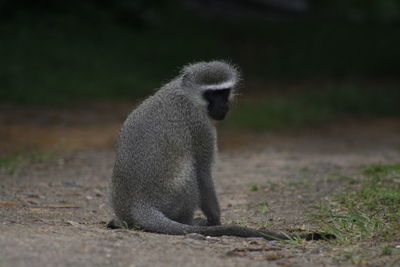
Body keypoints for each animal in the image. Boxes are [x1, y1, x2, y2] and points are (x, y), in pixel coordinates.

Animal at [107, 61, 334, 243]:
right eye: (211, 94)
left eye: (223, 92)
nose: (222, 106)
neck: (186, 94)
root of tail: (138, 204)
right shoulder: (200, 126)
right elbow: (203, 171)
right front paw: (215, 221)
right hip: (172, 198)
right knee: (191, 174)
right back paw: (190, 222)